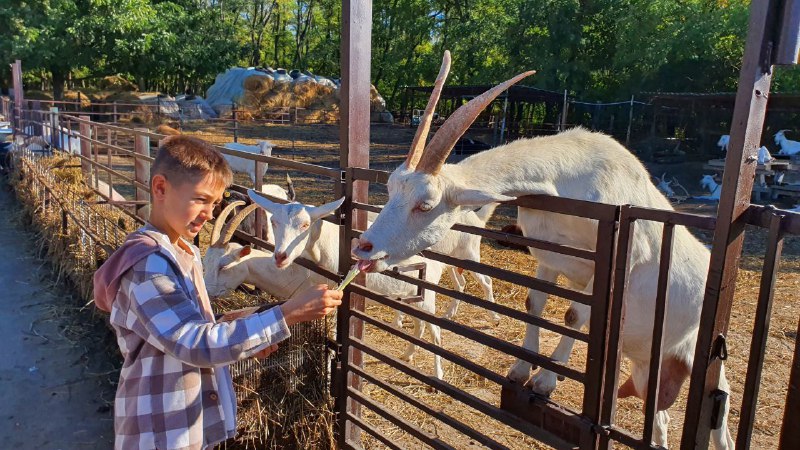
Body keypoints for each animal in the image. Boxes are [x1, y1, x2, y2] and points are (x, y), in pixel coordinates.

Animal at [248, 191, 446, 380]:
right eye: (273, 222)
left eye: (305, 225)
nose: (280, 256)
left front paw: (328, 373)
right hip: (410, 297)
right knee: (419, 325)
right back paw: (407, 355)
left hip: (428, 297)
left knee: (435, 333)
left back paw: (438, 375)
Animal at [350, 51, 732, 446]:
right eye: (391, 189)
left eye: (425, 205)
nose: (364, 247)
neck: (573, 175)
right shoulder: (550, 256)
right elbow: (533, 302)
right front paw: (520, 370)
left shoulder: (621, 261)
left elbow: (575, 316)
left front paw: (545, 381)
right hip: (645, 368)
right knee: (661, 417)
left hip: (707, 365)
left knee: (721, 426)